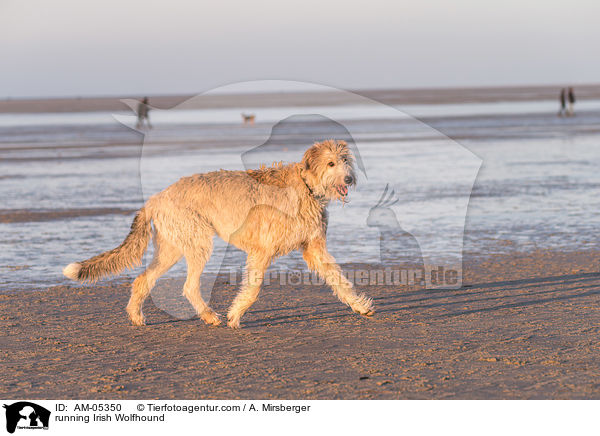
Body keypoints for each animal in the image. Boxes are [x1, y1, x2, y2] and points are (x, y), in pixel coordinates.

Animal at [64, 140, 376, 328]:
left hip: (171, 248)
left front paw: (359, 306)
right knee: (189, 286)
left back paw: (136, 316)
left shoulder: (314, 248)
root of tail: (155, 198)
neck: (305, 186)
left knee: (143, 279)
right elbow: (252, 289)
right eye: (331, 164)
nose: (350, 179)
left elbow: (338, 279)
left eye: (346, 160)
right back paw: (209, 316)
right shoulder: (261, 251)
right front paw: (235, 315)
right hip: (198, 242)